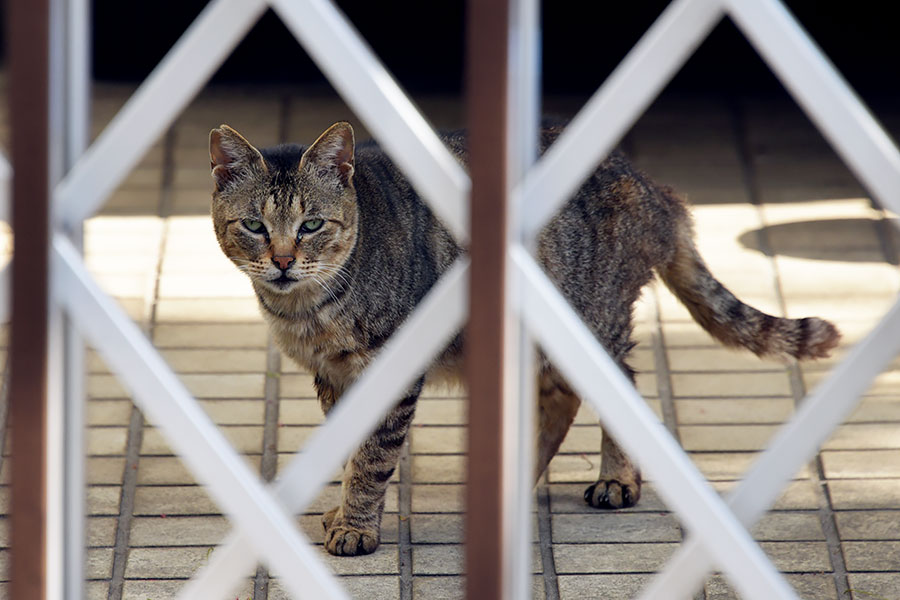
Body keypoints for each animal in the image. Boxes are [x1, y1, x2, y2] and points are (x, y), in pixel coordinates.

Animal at [207, 122, 840, 556]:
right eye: (254, 226)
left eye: (312, 224)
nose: (282, 260)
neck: (304, 309)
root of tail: (652, 188)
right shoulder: (333, 377)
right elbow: (347, 449)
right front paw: (343, 512)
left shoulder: (389, 369)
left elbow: (372, 458)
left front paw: (357, 527)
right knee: (561, 399)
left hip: (592, 325)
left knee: (621, 390)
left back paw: (616, 478)